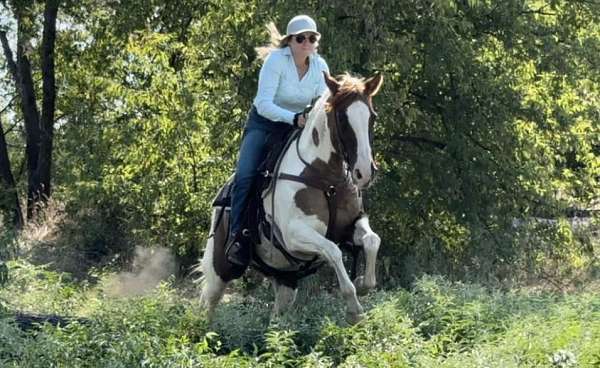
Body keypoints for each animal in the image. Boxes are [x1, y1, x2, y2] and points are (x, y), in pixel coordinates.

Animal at [199, 71, 382, 322]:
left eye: (372, 117)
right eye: (342, 119)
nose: (365, 172)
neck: (326, 180)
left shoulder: (351, 225)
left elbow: (372, 240)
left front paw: (364, 283)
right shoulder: (294, 235)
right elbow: (333, 251)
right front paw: (354, 308)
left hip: (285, 279)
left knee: (277, 315)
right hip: (221, 269)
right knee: (208, 303)